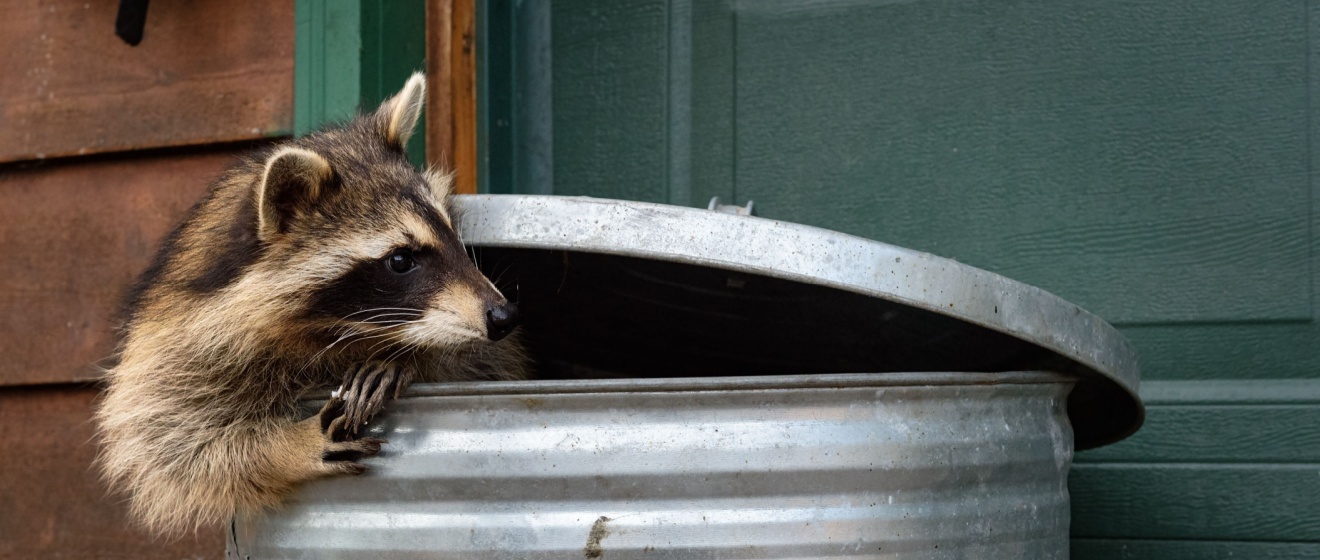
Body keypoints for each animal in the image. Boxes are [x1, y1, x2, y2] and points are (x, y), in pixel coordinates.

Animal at [94, 73, 528, 536]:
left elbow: (487, 362)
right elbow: (174, 445)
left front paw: (404, 358)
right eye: (400, 260)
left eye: (452, 234)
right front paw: (285, 447)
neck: (336, 328)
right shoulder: (174, 347)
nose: (504, 316)